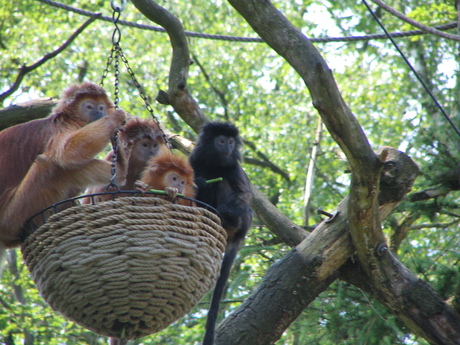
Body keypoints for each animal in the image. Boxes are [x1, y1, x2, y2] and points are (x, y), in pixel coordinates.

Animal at [188, 121, 252, 344]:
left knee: (223, 183)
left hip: (242, 222)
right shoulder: (195, 159)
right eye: (221, 141)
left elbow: (245, 194)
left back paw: (225, 215)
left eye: (231, 142)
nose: (228, 147)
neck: (215, 160)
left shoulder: (233, 166)